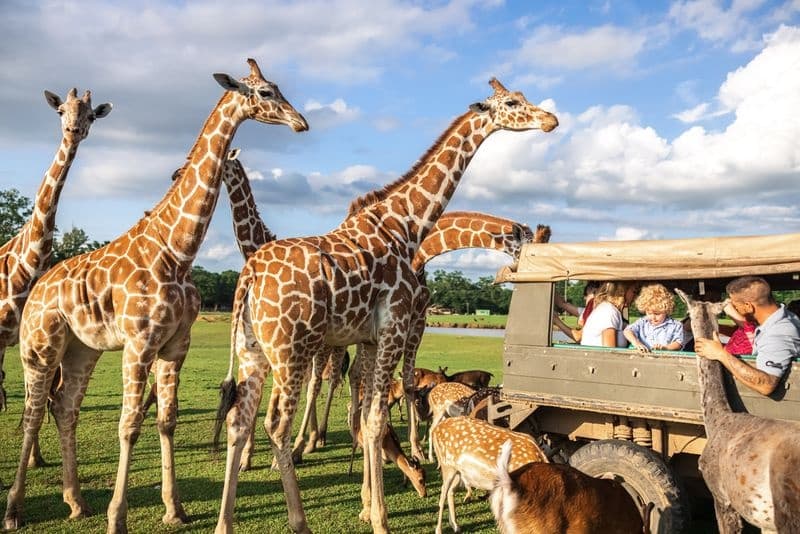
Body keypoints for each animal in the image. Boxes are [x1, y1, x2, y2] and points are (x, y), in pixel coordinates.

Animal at [213, 78, 557, 533]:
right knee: (276, 423)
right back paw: (299, 516)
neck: (405, 226)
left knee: (239, 418)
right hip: (290, 348)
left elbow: (367, 416)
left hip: (252, 349)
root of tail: (250, 274)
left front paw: (370, 503)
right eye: (513, 102)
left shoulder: (370, 338)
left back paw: (225, 523)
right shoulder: (393, 327)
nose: (550, 119)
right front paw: (380, 517)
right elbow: (375, 418)